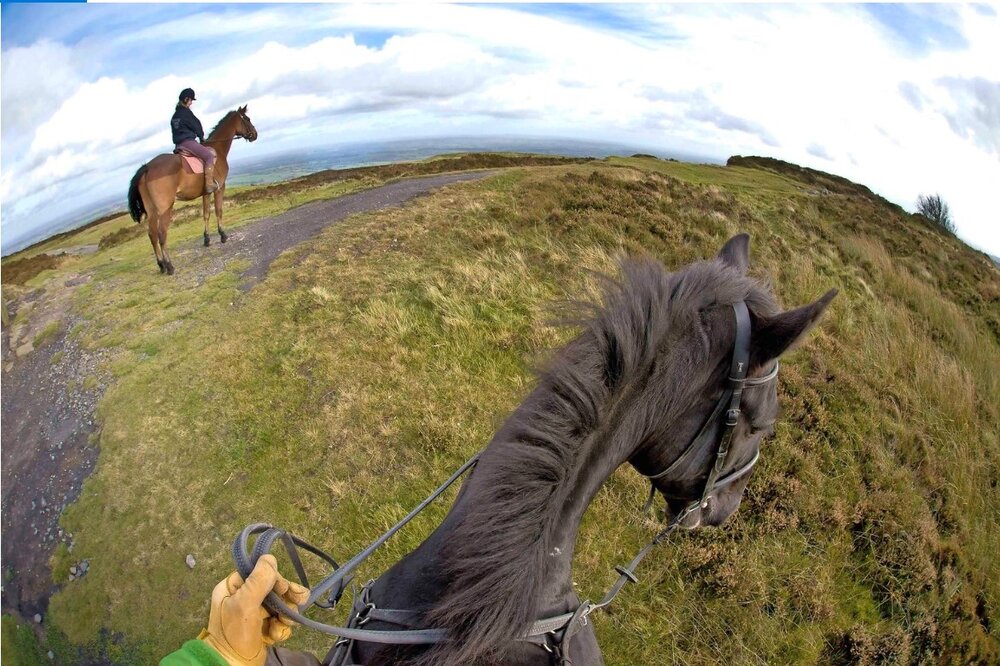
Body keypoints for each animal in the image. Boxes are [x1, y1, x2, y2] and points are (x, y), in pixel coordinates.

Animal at [127, 107, 258, 274]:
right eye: (247, 119)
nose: (254, 134)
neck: (218, 149)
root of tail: (147, 167)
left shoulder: (206, 193)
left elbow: (206, 214)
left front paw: (207, 239)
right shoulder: (220, 188)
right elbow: (218, 211)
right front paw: (223, 235)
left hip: (151, 210)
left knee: (152, 234)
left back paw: (161, 265)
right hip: (165, 208)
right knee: (162, 234)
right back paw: (169, 266)